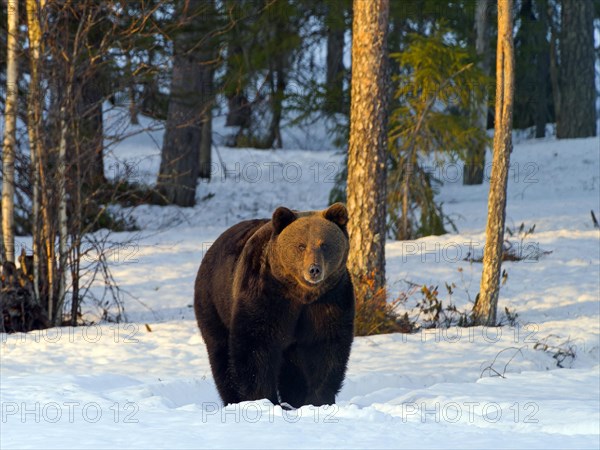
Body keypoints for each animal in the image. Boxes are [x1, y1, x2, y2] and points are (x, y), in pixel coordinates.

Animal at [195, 204, 354, 408]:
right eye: (301, 245)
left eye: (324, 244)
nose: (314, 270)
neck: (301, 294)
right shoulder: (266, 294)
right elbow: (255, 344)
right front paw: (262, 399)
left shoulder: (331, 298)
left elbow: (326, 345)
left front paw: (318, 400)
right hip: (214, 302)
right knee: (221, 354)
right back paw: (232, 399)